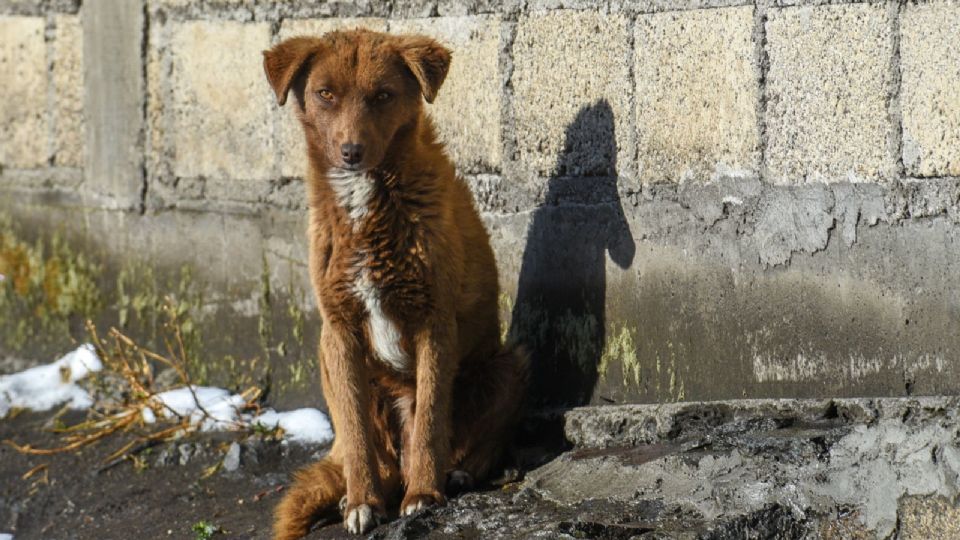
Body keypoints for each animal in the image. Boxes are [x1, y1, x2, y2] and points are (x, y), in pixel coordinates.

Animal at [262, 30, 528, 540]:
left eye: (383, 95)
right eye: (325, 94)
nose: (351, 152)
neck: (366, 200)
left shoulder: (434, 323)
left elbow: (429, 422)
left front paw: (423, 495)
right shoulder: (340, 330)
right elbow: (356, 434)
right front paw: (362, 504)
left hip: (507, 364)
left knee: (472, 441)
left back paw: (455, 473)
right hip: (329, 360)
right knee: (370, 452)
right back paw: (361, 491)